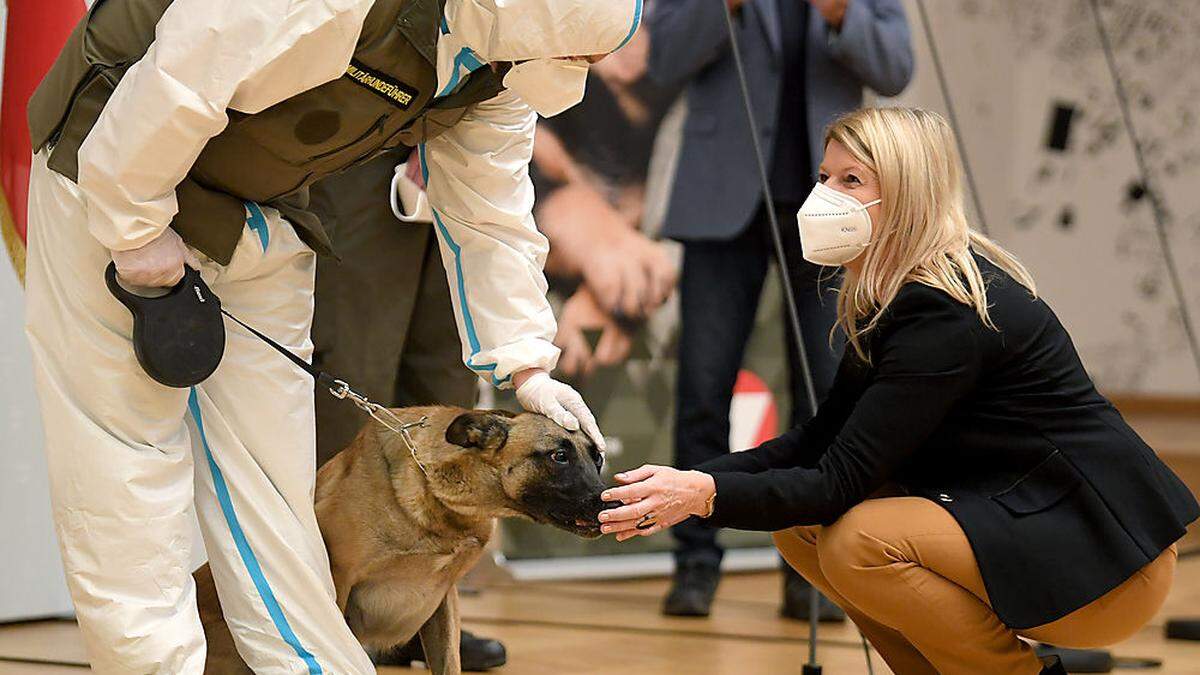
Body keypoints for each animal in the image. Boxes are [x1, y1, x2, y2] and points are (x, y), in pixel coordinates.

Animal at [198, 403, 614, 672]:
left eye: (597, 458)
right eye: (559, 456)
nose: (609, 501)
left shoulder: (444, 600)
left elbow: (449, 663)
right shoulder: (339, 586)